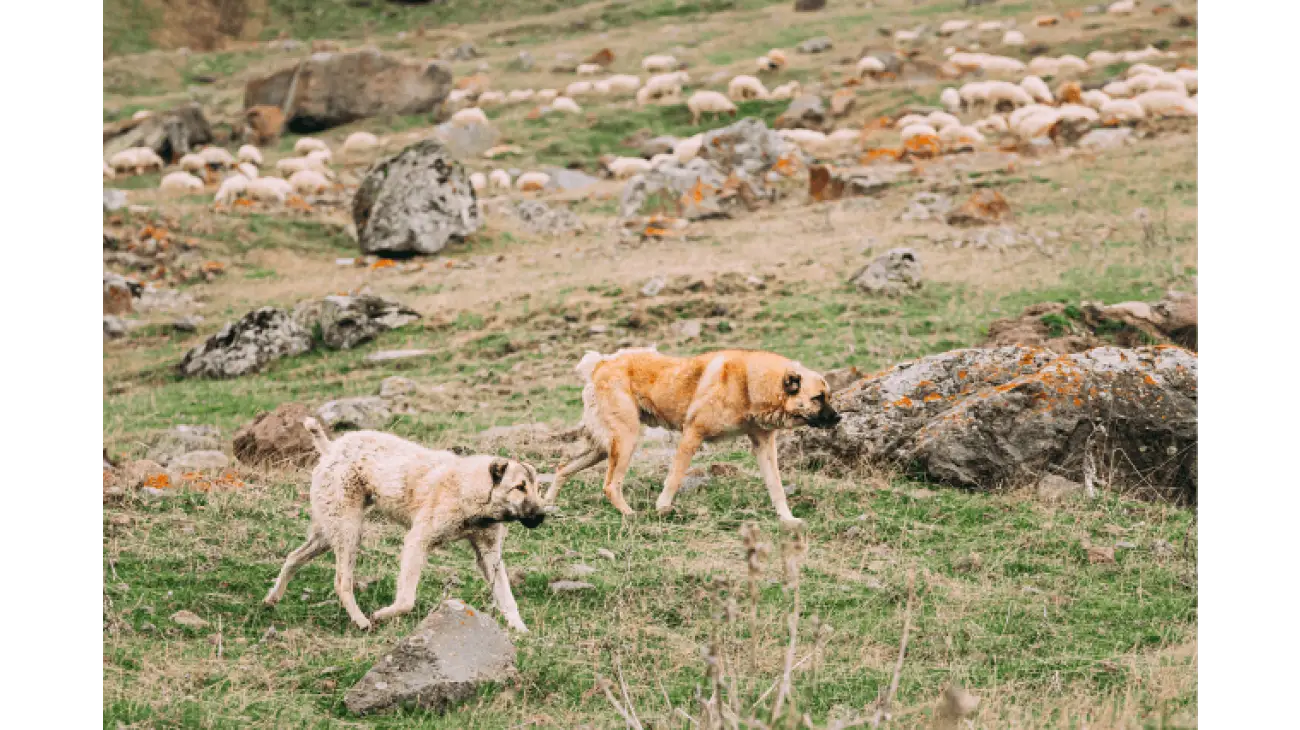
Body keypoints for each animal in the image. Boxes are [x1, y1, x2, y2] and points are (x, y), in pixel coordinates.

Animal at [263, 420, 548, 631]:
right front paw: (382, 614)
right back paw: (362, 620)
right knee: (341, 582)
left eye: (536, 487)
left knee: (294, 557)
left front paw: (521, 630)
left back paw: (272, 598)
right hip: (348, 530)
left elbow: (506, 597)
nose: (543, 515)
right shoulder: (417, 541)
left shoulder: (489, 554)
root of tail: (332, 447)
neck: (474, 490)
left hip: (329, 532)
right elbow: (406, 600)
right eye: (519, 487)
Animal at [546, 345, 842, 522]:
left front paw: (787, 518)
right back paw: (630, 514)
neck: (748, 384)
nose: (839, 417)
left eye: (828, 396)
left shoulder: (764, 445)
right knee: (610, 485)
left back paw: (547, 503)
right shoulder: (692, 435)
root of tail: (601, 364)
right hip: (626, 439)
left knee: (562, 467)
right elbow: (674, 478)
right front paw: (663, 507)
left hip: (602, 447)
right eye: (818, 398)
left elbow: (776, 487)